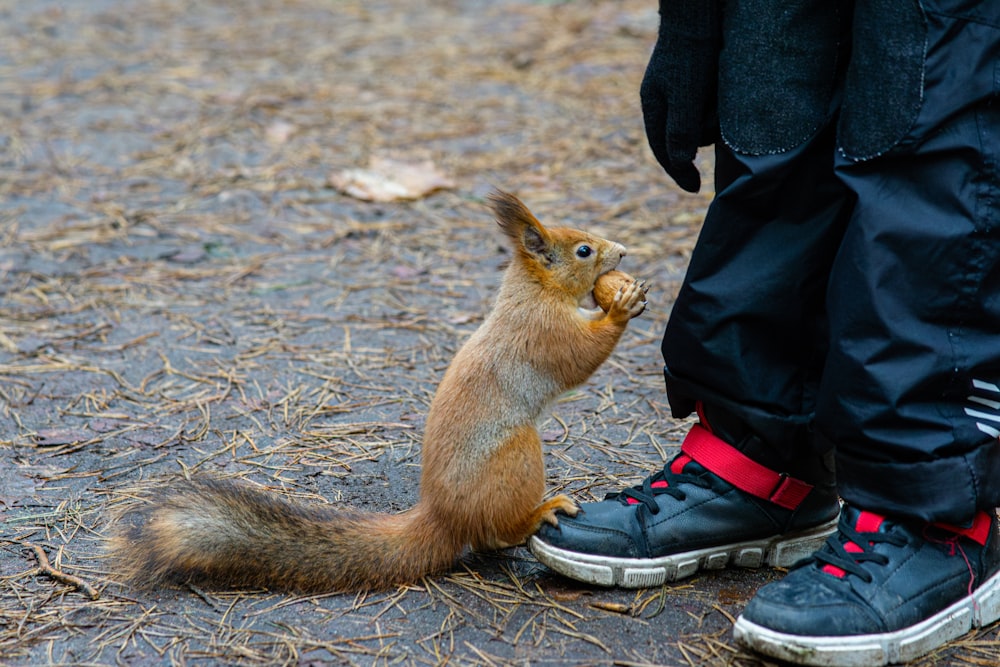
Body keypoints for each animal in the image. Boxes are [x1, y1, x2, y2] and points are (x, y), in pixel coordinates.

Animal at [111, 190, 648, 592]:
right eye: (583, 251)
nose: (622, 250)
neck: (533, 293)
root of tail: (442, 516)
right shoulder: (542, 333)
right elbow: (577, 356)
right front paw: (622, 306)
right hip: (516, 458)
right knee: (499, 531)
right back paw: (543, 511)